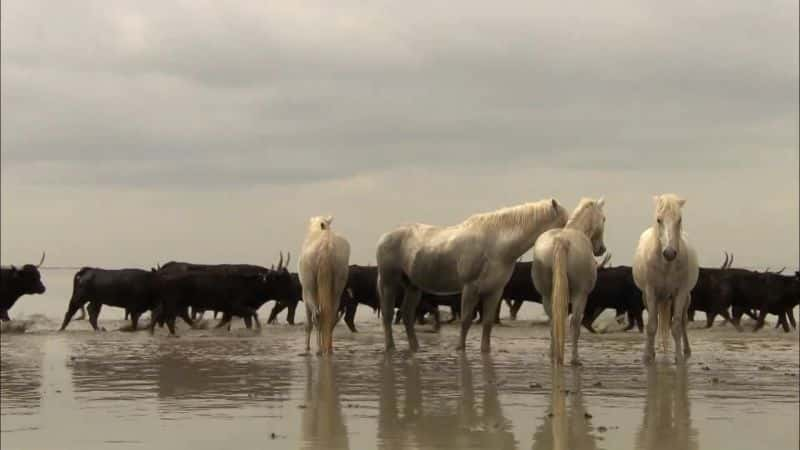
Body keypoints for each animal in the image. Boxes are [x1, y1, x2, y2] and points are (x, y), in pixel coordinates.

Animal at [300, 214, 350, 356]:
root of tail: (326, 248)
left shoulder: (305, 295)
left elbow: (308, 324)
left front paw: (307, 348)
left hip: (310, 287)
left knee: (317, 316)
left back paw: (318, 349)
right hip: (338, 281)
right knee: (331, 314)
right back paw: (328, 348)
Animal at [376, 200, 568, 352]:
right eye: (564, 223)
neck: (496, 244)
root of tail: (385, 237)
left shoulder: (495, 292)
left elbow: (488, 323)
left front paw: (485, 351)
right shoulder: (470, 287)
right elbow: (466, 319)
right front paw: (460, 349)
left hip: (413, 287)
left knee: (408, 316)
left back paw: (415, 348)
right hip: (388, 282)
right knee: (387, 314)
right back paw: (390, 348)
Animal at [532, 199, 608, 368]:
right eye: (604, 218)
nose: (601, 249)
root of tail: (561, 240)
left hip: (547, 296)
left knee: (553, 322)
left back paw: (553, 355)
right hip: (580, 295)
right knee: (574, 324)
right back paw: (575, 359)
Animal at [636, 195, 696, 364]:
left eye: (679, 219)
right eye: (659, 219)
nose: (669, 253)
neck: (666, 265)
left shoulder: (681, 293)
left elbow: (676, 326)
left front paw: (679, 357)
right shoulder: (651, 292)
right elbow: (651, 325)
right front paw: (647, 356)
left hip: (684, 298)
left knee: (683, 322)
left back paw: (687, 350)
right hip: (650, 297)